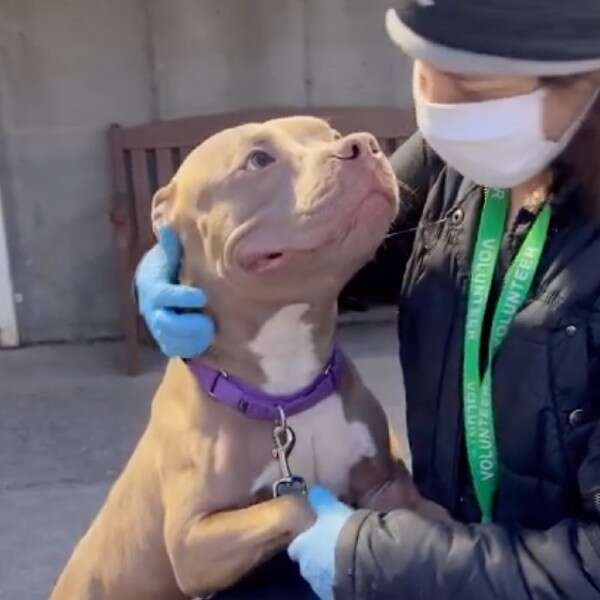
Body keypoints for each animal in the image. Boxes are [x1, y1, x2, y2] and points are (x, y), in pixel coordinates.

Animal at [51, 117, 440, 600]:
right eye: (258, 159)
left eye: (331, 136)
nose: (363, 145)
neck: (286, 390)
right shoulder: (193, 542)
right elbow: (295, 506)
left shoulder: (384, 478)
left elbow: (420, 513)